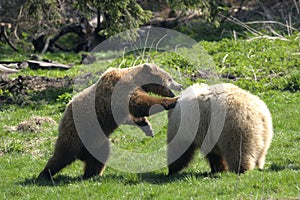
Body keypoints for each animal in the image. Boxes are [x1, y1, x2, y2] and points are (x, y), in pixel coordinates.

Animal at [38, 63, 182, 180]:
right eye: (169, 78)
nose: (180, 85)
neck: (135, 80)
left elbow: (131, 115)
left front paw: (148, 127)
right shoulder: (118, 91)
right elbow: (140, 103)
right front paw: (173, 100)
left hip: (97, 141)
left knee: (100, 156)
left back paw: (93, 174)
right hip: (76, 132)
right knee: (62, 155)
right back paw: (44, 174)